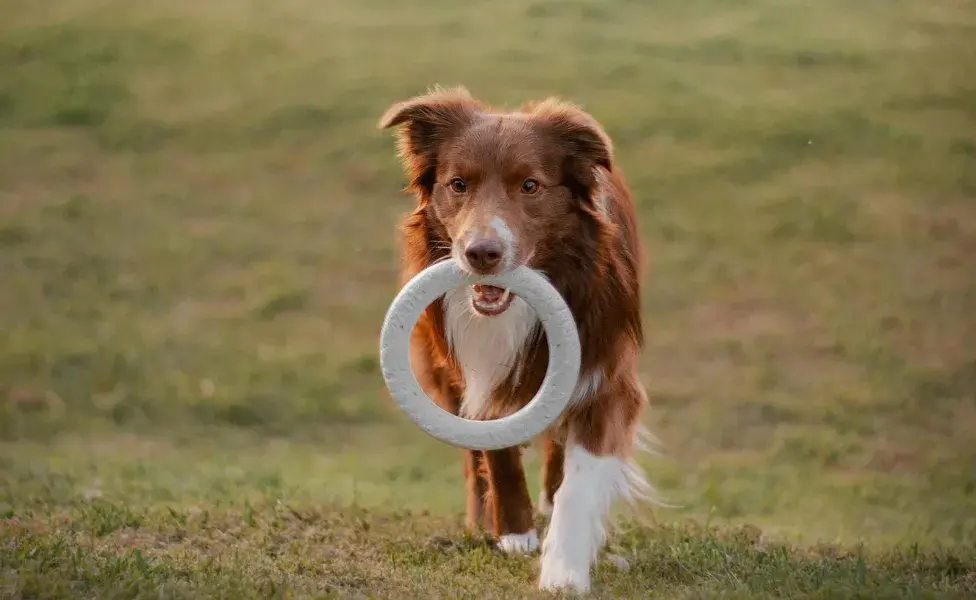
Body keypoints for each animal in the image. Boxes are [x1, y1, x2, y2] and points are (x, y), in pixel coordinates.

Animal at [378, 86, 652, 592]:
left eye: (530, 186)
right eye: (458, 184)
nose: (482, 254)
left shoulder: (608, 379)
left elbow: (579, 482)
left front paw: (563, 571)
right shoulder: (476, 375)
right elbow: (495, 445)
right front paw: (515, 533)